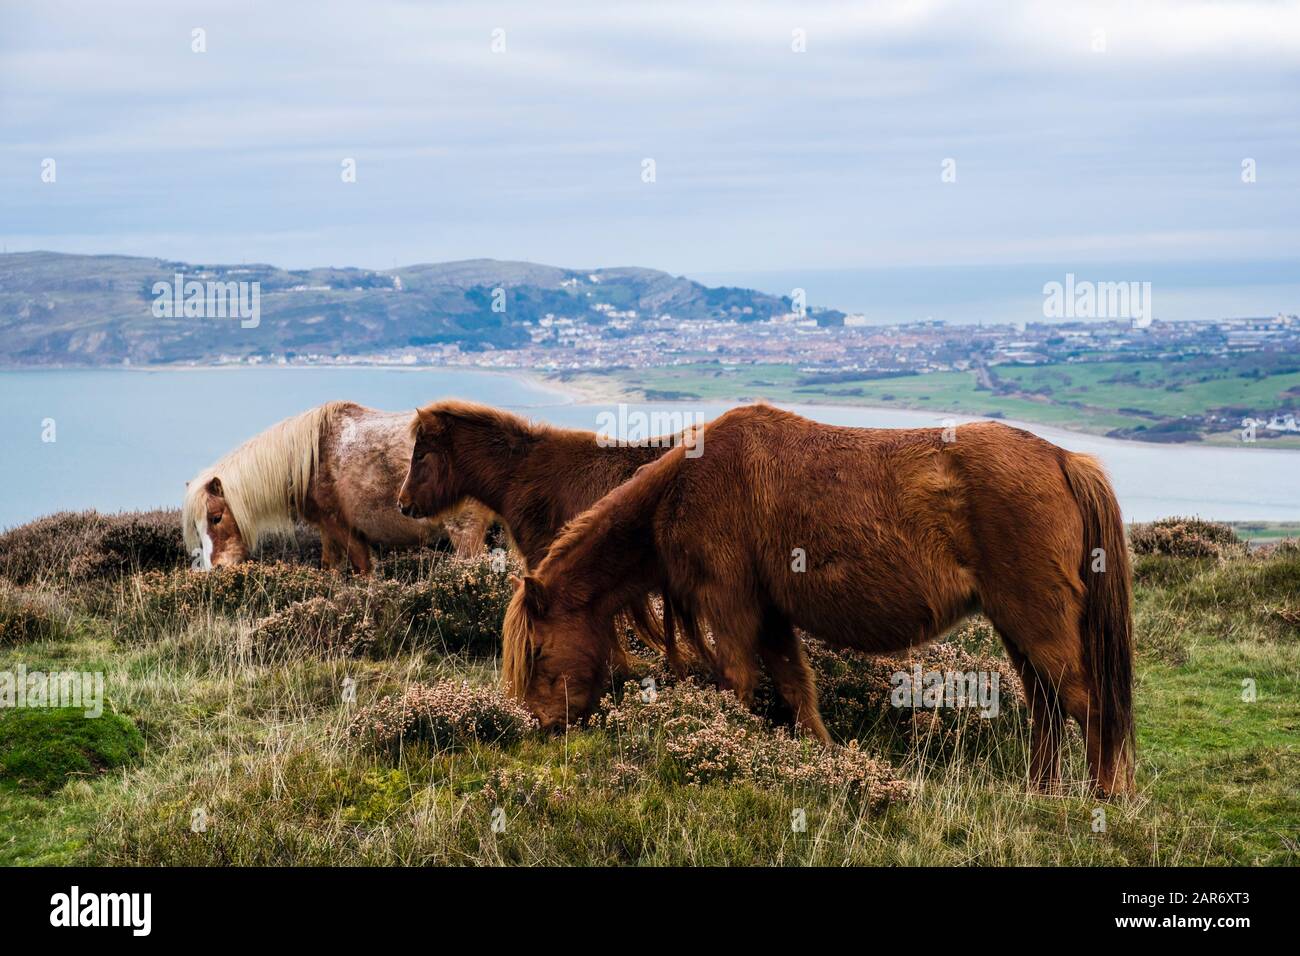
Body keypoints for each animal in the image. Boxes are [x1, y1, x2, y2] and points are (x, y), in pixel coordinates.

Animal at [189, 400, 496, 572]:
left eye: (216, 517)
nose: (215, 569)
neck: (310, 459)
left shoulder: (344, 529)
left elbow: (364, 570)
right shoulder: (328, 531)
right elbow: (331, 570)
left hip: (465, 533)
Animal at [501, 408, 1133, 796]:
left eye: (537, 655)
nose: (540, 728)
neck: (680, 490)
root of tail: (1065, 460)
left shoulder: (730, 606)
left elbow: (738, 683)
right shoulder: (771, 615)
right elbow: (795, 688)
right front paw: (822, 760)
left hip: (1037, 621)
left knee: (1087, 704)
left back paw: (1104, 798)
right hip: (1017, 625)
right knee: (1047, 707)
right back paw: (1041, 792)